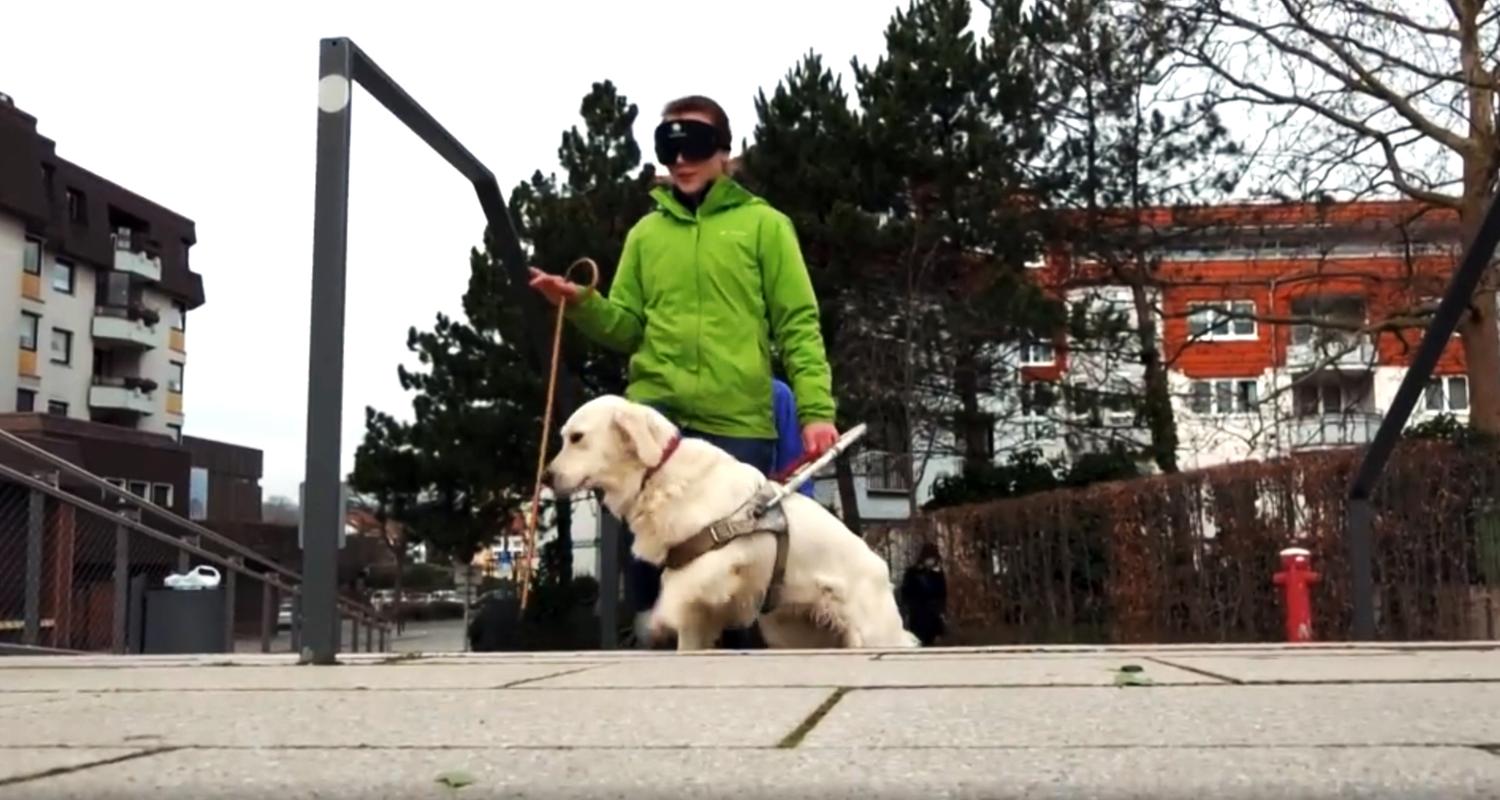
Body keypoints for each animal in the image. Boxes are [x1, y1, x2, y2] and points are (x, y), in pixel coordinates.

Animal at [546, 393, 918, 648]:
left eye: (576, 437)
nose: (547, 477)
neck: (659, 475)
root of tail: (881, 568)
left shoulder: (727, 549)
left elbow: (685, 586)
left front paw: (657, 618)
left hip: (869, 633)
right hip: (792, 630)